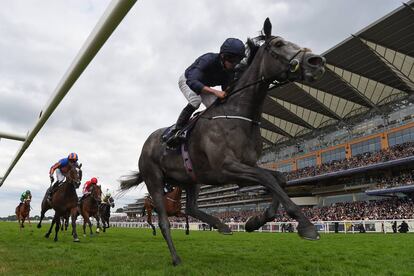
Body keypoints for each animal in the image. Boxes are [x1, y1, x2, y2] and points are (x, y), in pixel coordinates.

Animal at [119, 17, 326, 266]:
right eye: (278, 44)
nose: (316, 61)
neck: (238, 116)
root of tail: (147, 143)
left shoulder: (245, 168)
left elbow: (278, 179)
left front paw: (255, 221)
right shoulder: (227, 168)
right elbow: (268, 179)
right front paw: (306, 226)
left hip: (191, 180)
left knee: (191, 207)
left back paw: (222, 225)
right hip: (155, 181)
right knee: (163, 221)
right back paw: (177, 257)